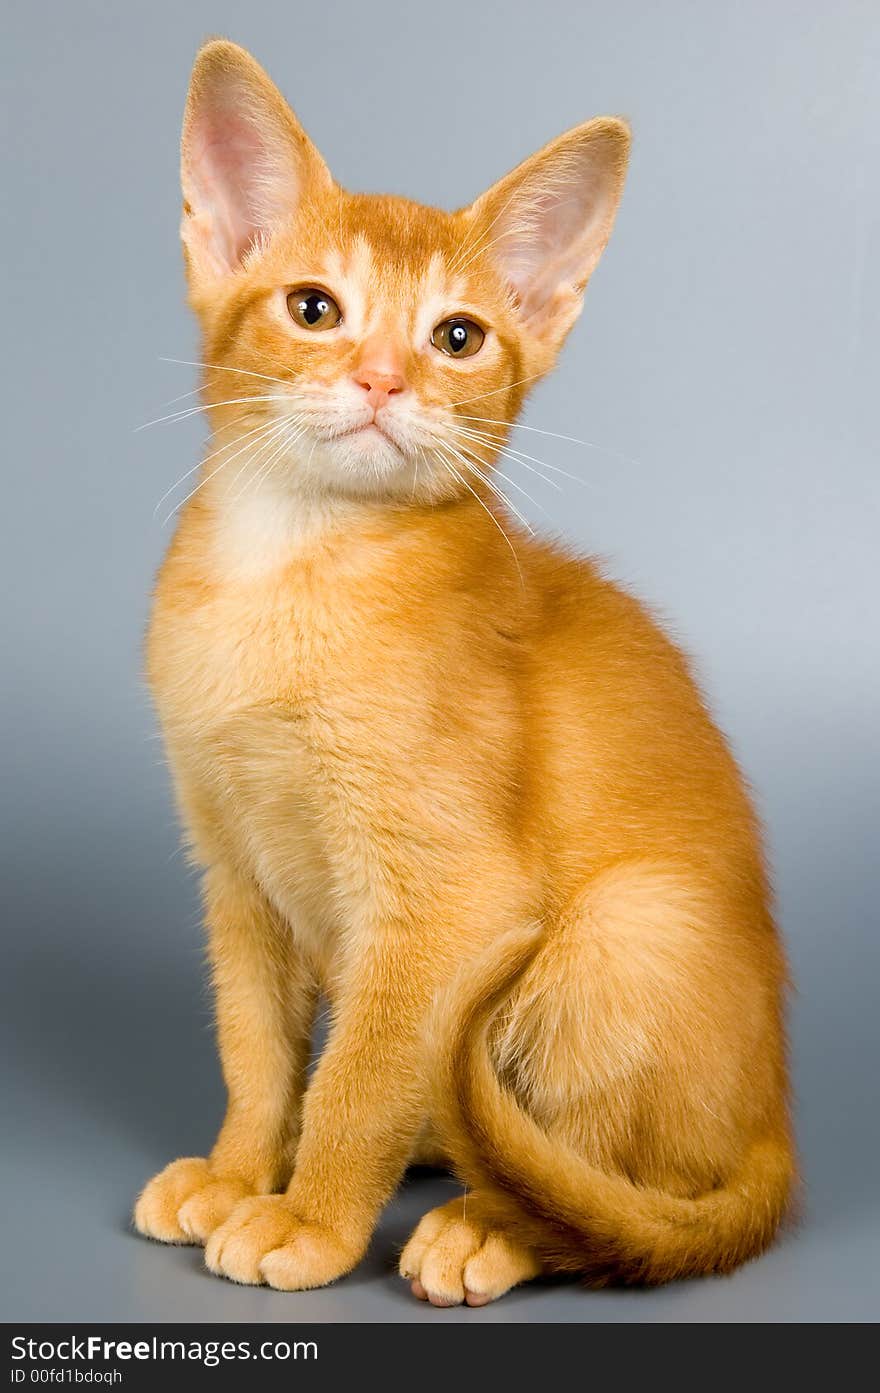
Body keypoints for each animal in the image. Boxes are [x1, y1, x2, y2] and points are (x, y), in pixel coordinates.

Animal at [132, 43, 796, 1303]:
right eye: (313, 309)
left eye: (457, 337)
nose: (384, 379)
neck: (286, 571)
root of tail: (774, 1118)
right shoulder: (233, 872)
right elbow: (257, 1049)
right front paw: (241, 1171)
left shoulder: (448, 905)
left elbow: (359, 1077)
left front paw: (308, 1219)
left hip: (626, 926)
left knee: (606, 1182)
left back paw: (490, 1224)